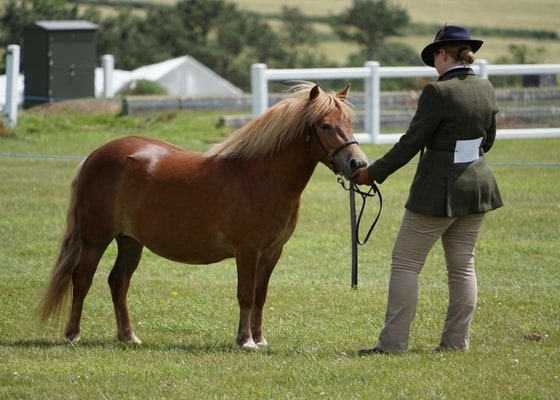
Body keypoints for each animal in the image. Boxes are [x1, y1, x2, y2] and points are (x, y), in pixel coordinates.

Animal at [36, 82, 368, 350]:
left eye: (350, 121)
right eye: (325, 125)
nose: (358, 164)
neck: (261, 177)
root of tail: (94, 156)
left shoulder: (272, 253)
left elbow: (260, 296)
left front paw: (260, 338)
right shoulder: (247, 251)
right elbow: (246, 295)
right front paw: (245, 341)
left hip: (129, 240)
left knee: (118, 282)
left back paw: (128, 336)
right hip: (96, 239)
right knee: (82, 279)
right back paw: (73, 334)